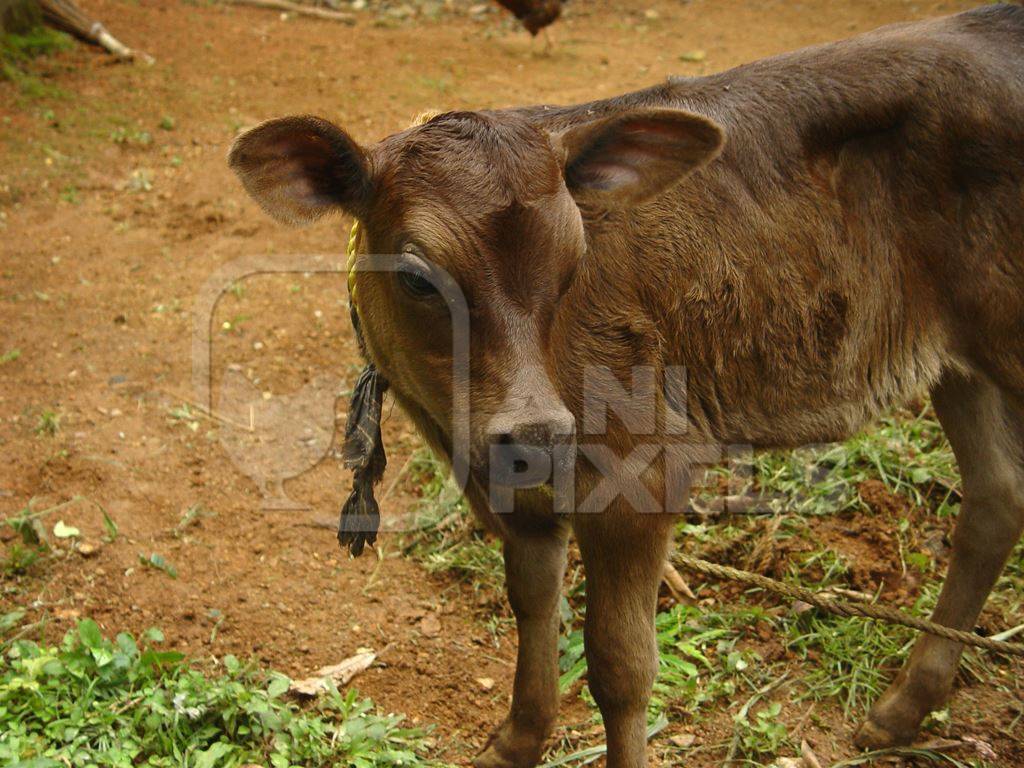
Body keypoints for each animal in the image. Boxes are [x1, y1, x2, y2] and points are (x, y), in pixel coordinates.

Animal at [230, 6, 1024, 768]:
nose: (538, 431)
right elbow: (532, 600)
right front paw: (517, 740)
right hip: (962, 358)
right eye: (418, 276)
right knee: (997, 496)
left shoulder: (645, 466)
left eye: (573, 262)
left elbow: (621, 667)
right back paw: (902, 711)